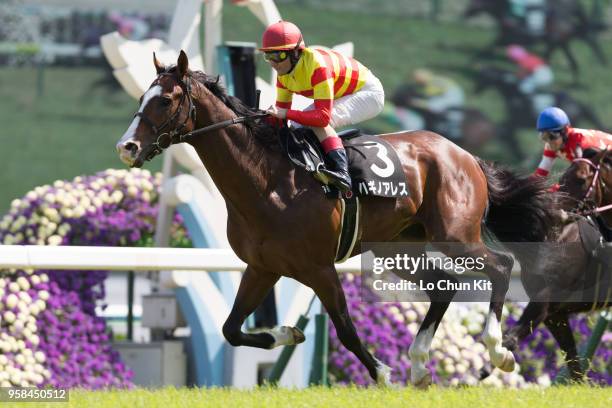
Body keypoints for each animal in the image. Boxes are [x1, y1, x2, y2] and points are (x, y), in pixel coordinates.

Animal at [115, 50, 560, 386]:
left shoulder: (319, 267)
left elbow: (344, 328)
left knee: (501, 265)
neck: (265, 181)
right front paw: (287, 332)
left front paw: (382, 375)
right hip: (399, 247)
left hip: (454, 234)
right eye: (140, 98)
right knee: (444, 286)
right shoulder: (262, 267)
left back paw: (497, 349)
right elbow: (231, 330)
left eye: (166, 100)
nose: (127, 147)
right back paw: (419, 365)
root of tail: (464, 154)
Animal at [464, 0, 608, 81]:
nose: (465, 13)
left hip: (555, 41)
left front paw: (473, 63)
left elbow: (488, 49)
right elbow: (488, 49)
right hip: (561, 43)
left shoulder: (511, 37)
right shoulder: (508, 37)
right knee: (573, 63)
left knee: (552, 60)